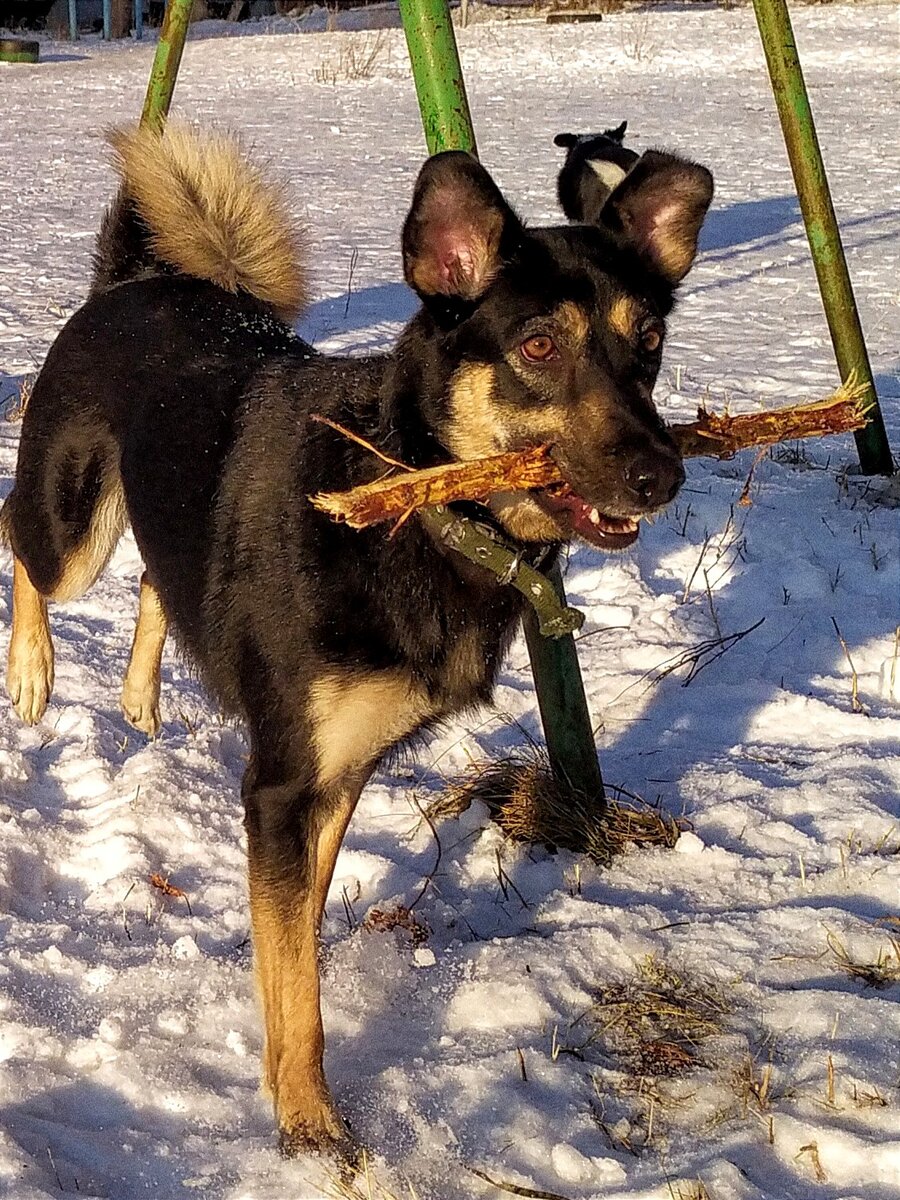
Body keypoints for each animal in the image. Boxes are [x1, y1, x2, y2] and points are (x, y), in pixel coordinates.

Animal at [3, 124, 715, 1152]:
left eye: (649, 344)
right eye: (539, 344)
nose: (663, 476)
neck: (419, 503)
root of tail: (130, 283)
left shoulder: (338, 775)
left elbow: (299, 932)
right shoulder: (282, 786)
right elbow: (295, 976)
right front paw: (309, 1124)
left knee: (152, 580)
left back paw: (138, 697)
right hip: (72, 525)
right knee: (22, 543)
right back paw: (32, 669)